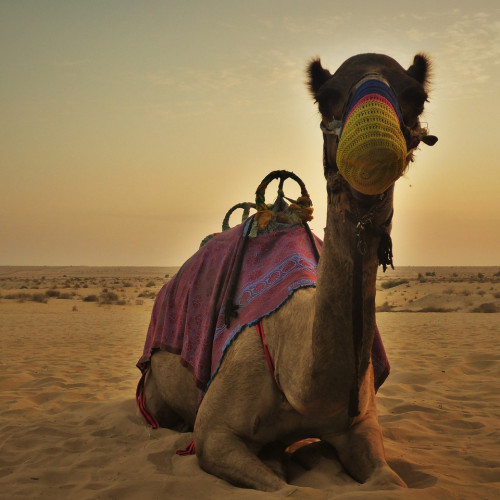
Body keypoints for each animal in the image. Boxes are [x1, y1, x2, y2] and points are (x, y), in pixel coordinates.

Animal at [138, 52, 438, 490]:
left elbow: (390, 483)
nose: (374, 147)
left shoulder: (361, 424)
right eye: (326, 96)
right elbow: (284, 489)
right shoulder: (213, 435)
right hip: (154, 391)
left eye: (417, 97)